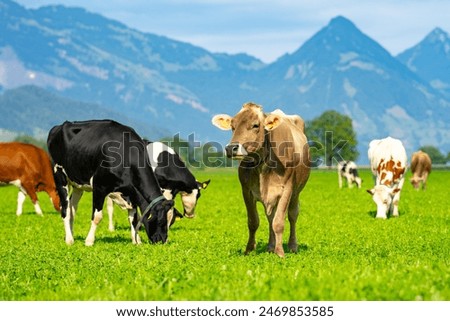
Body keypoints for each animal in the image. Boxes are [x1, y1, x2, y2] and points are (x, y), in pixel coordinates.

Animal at [211, 102, 310, 258]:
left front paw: (280, 253)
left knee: (293, 215)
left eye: (256, 125)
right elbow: (253, 221)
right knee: (270, 217)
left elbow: (279, 222)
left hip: (296, 193)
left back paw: (292, 246)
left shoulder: (287, 189)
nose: (231, 148)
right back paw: (270, 246)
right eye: (233, 126)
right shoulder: (246, 191)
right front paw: (249, 249)